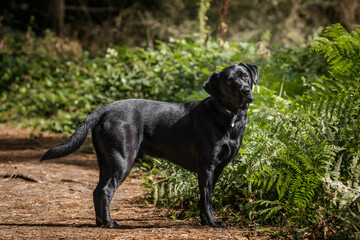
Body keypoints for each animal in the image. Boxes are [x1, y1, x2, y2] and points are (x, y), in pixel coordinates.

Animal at [41, 62, 258, 228]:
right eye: (229, 82)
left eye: (245, 76)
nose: (246, 91)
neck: (230, 117)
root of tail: (105, 108)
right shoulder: (206, 166)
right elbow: (207, 199)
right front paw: (213, 223)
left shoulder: (217, 168)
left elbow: (206, 196)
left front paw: (205, 222)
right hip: (122, 160)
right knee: (106, 190)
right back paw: (110, 223)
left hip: (106, 161)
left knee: (97, 191)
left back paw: (100, 223)